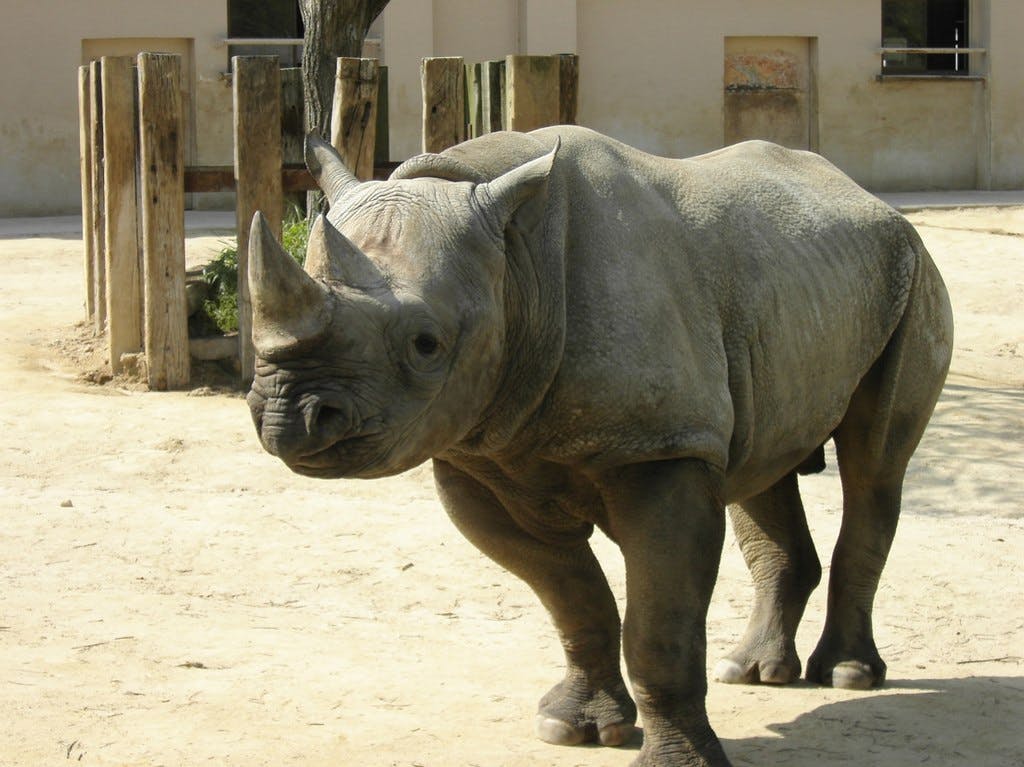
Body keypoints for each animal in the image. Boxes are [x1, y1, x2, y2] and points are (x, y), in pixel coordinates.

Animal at [246, 126, 953, 766]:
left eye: (426, 345)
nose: (289, 417)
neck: (514, 264)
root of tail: (864, 194)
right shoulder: (477, 452)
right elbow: (571, 596)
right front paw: (574, 729)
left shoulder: (661, 446)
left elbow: (659, 629)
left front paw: (680, 763)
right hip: (792, 286)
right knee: (764, 463)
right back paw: (754, 671)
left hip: (913, 270)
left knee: (873, 468)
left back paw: (847, 675)